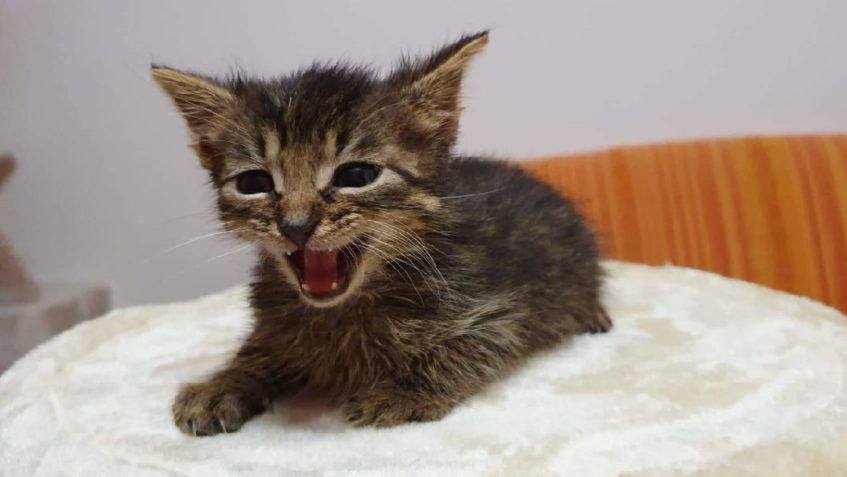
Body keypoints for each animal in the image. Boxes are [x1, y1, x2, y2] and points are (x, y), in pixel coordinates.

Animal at [152, 31, 612, 436]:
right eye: (253, 183)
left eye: (356, 176)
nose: (296, 225)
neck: (340, 309)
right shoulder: (275, 325)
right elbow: (259, 349)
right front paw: (222, 384)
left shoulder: (502, 313)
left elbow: (467, 349)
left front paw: (403, 393)